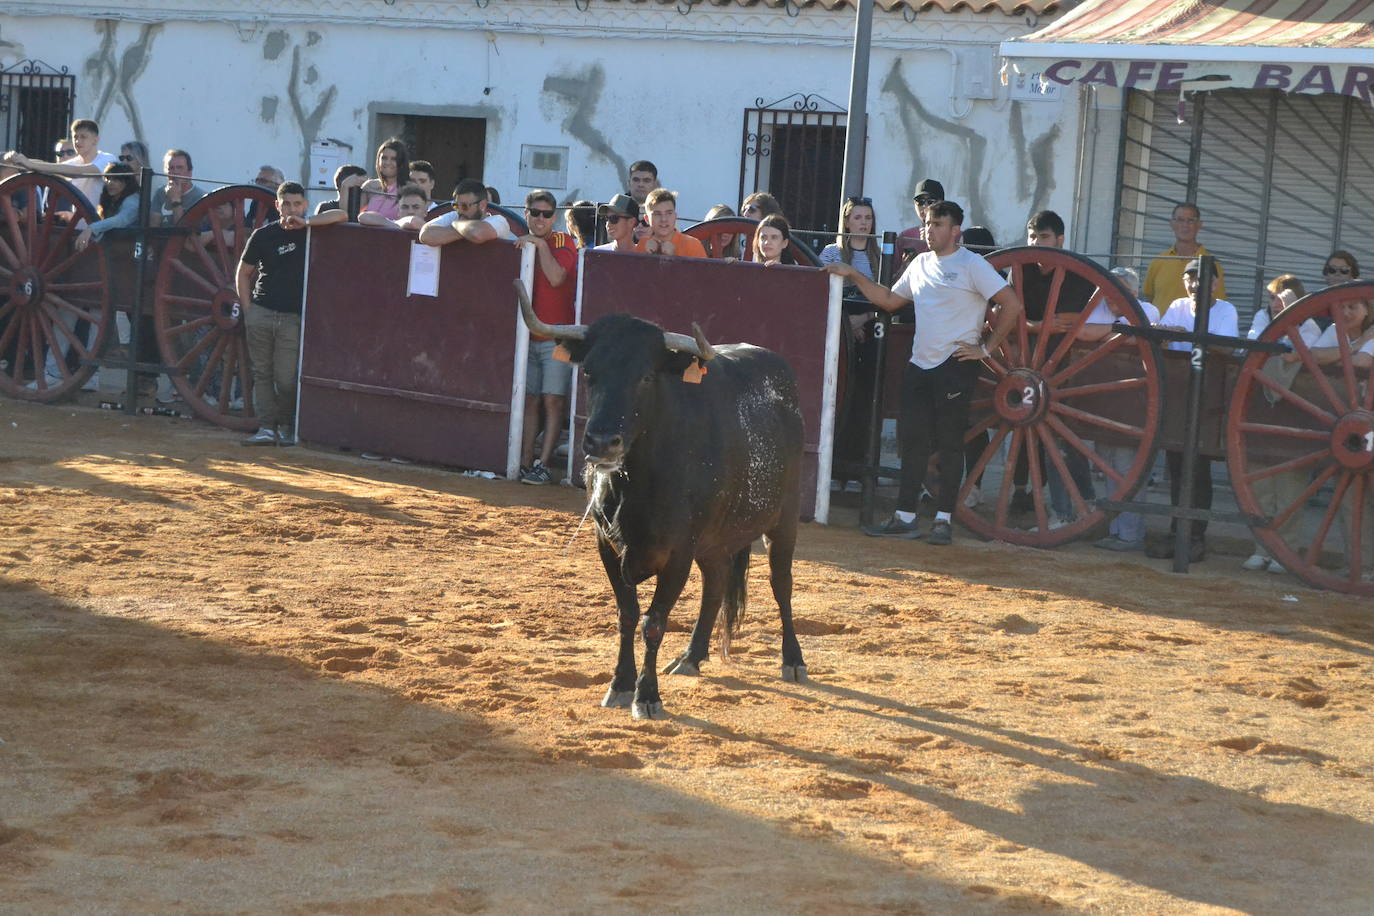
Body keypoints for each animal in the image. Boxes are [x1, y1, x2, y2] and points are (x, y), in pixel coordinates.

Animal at [513, 280, 802, 714]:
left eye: (647, 376)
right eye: (589, 372)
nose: (601, 442)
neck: (638, 482)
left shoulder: (678, 552)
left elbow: (654, 622)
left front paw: (646, 695)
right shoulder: (607, 545)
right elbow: (628, 614)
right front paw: (620, 684)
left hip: (784, 520)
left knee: (780, 582)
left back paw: (793, 659)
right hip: (714, 540)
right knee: (716, 583)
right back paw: (691, 656)